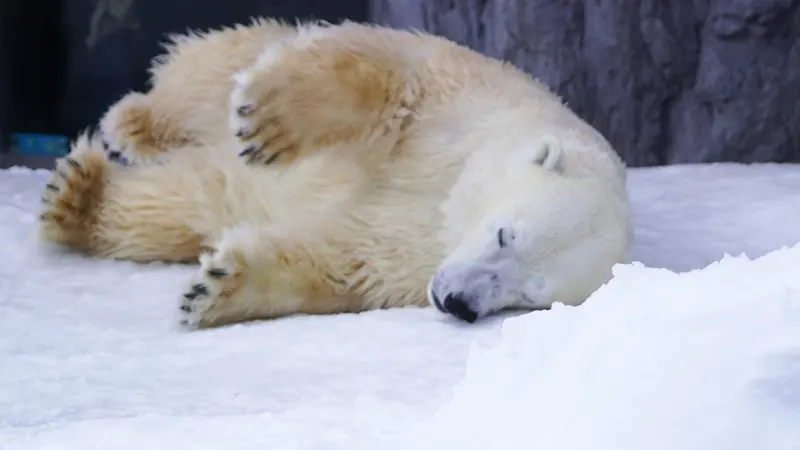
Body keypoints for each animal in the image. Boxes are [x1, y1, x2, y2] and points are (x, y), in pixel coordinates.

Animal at [37, 20, 632, 330]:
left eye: (531, 298)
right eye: (505, 234)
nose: (459, 303)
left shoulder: (407, 253)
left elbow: (342, 264)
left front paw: (213, 289)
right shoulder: (460, 108)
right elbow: (390, 82)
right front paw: (265, 125)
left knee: (181, 203)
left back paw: (78, 199)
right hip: (222, 68)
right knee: (203, 72)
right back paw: (133, 125)